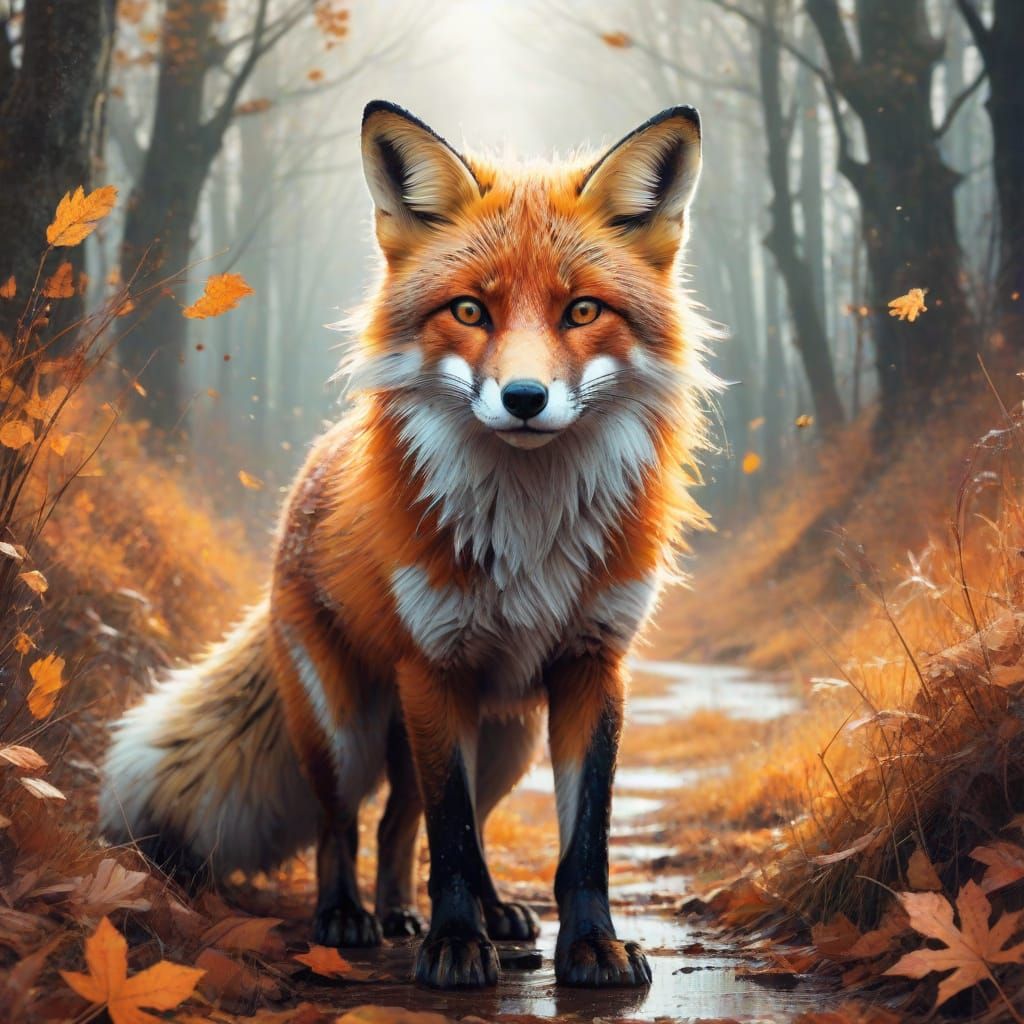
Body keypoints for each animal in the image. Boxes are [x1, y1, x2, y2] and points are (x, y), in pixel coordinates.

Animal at [99, 100, 714, 990]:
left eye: (581, 311)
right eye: (469, 311)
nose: (524, 398)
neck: (527, 532)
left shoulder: (592, 665)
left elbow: (580, 842)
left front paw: (589, 946)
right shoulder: (436, 665)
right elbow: (448, 839)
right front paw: (455, 947)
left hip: (502, 738)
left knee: (407, 823)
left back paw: (442, 913)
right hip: (348, 727)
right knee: (350, 824)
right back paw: (351, 917)